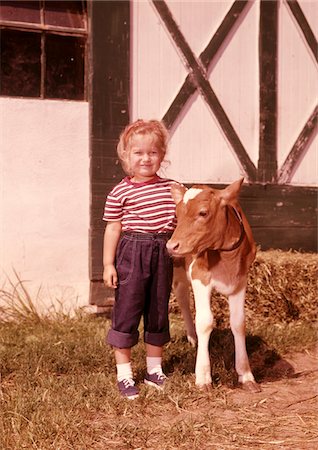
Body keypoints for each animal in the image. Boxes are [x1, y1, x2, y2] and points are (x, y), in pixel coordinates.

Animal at [166, 178, 260, 392]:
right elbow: (205, 321)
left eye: (203, 213)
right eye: (177, 214)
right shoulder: (199, 276)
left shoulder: (240, 281)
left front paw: (246, 374)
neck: (226, 257)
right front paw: (203, 376)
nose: (172, 246)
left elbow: (238, 323)